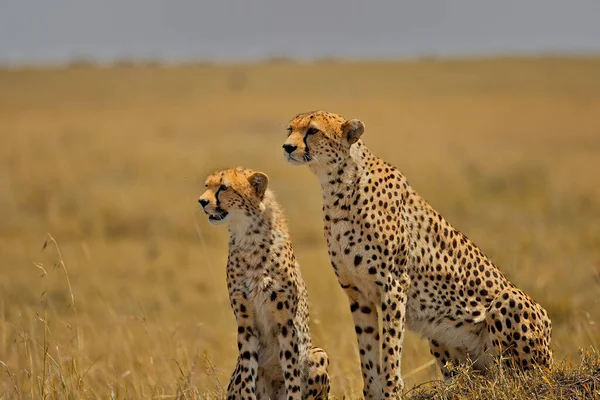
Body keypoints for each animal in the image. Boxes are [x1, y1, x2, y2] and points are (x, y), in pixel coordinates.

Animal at [198, 166, 330, 400]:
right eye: (207, 186)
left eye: (224, 187)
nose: (201, 201)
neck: (249, 237)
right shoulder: (246, 325)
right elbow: (247, 376)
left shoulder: (286, 324)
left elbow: (292, 373)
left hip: (318, 354)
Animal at [282, 111, 552, 398]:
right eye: (290, 129)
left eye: (312, 131)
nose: (287, 147)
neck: (338, 185)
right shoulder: (357, 294)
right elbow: (368, 358)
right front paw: (373, 391)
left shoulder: (394, 286)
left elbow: (390, 354)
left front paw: (391, 391)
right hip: (439, 332)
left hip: (509, 304)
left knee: (511, 375)